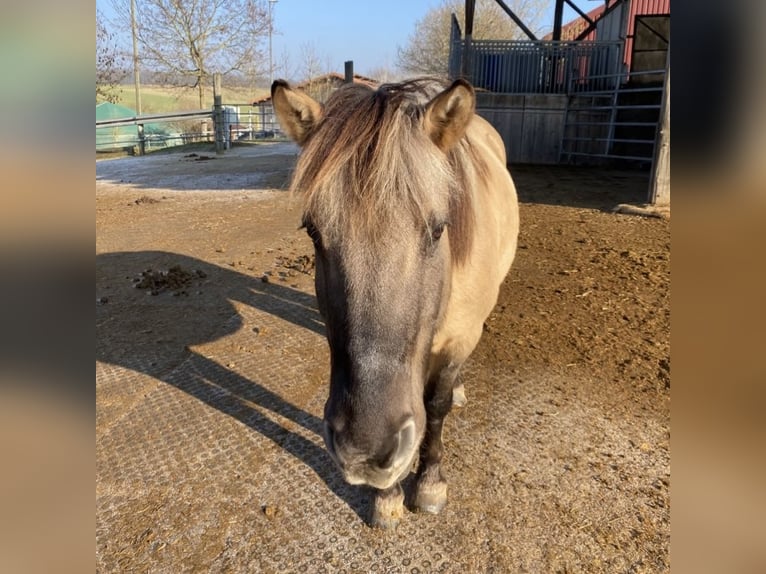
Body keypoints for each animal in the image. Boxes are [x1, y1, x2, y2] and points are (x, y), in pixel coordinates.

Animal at [272, 77, 519, 528]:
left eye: (439, 229)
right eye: (313, 232)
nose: (366, 449)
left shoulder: (458, 338)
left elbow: (435, 405)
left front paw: (430, 483)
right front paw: (387, 495)